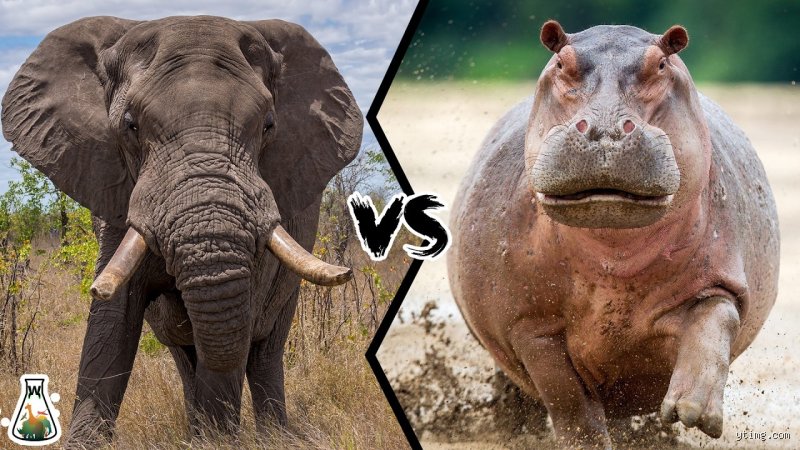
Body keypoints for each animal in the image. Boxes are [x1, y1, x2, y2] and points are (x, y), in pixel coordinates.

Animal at [1, 16, 363, 446]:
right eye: (130, 125)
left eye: (269, 126)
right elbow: (112, 324)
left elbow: (236, 325)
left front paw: (218, 442)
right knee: (186, 355)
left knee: (263, 352)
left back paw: (273, 435)